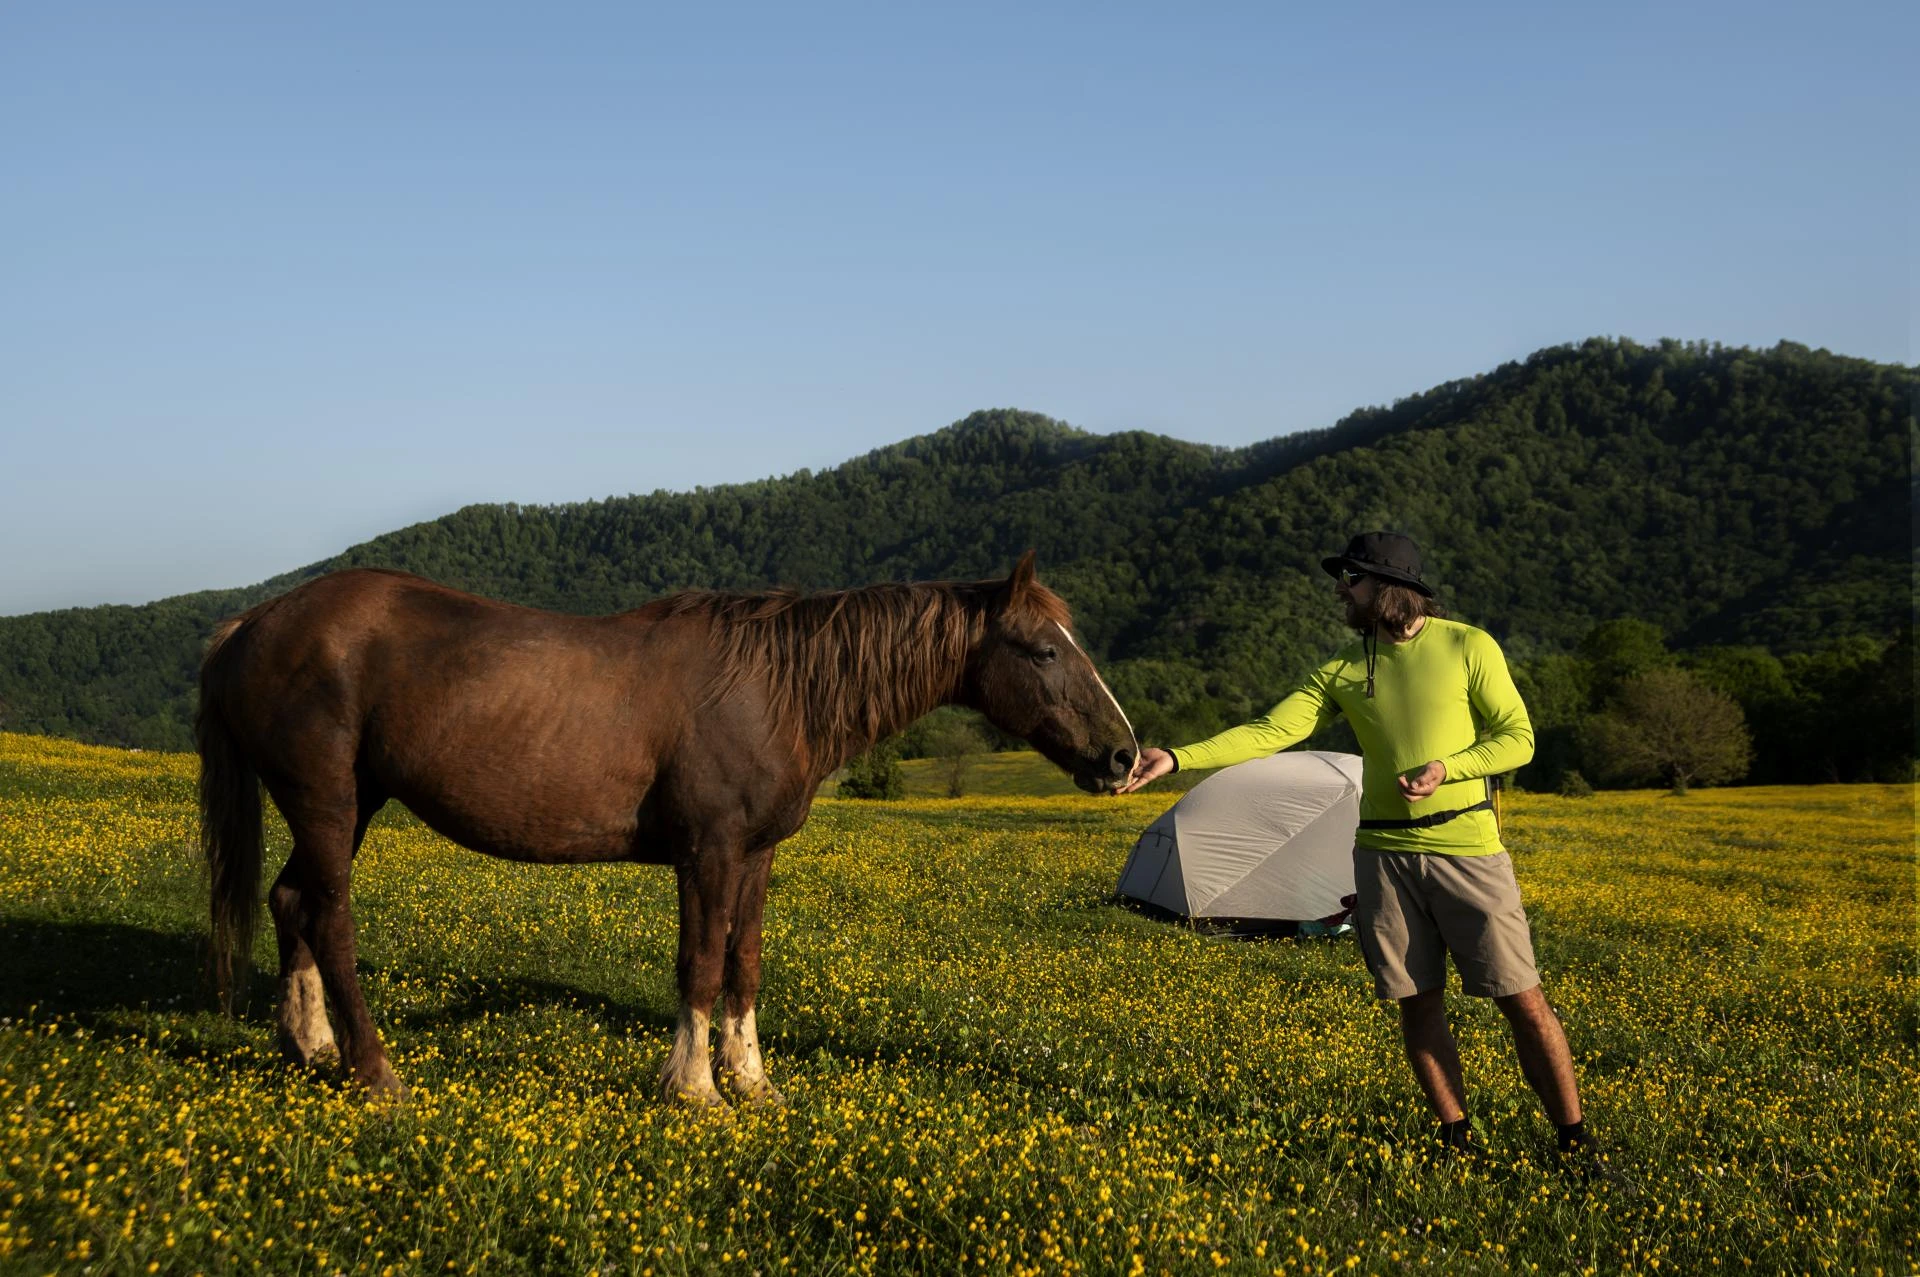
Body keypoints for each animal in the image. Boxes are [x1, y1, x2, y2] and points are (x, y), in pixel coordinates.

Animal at [196, 552, 1137, 1104]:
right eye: (1044, 650)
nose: (1125, 755)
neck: (777, 687)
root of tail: (254, 621)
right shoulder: (706, 853)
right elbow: (700, 963)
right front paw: (694, 1087)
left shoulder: (755, 856)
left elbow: (744, 964)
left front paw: (752, 1081)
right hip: (327, 799)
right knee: (331, 917)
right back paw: (372, 1069)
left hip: (350, 803)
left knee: (291, 901)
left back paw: (308, 1045)